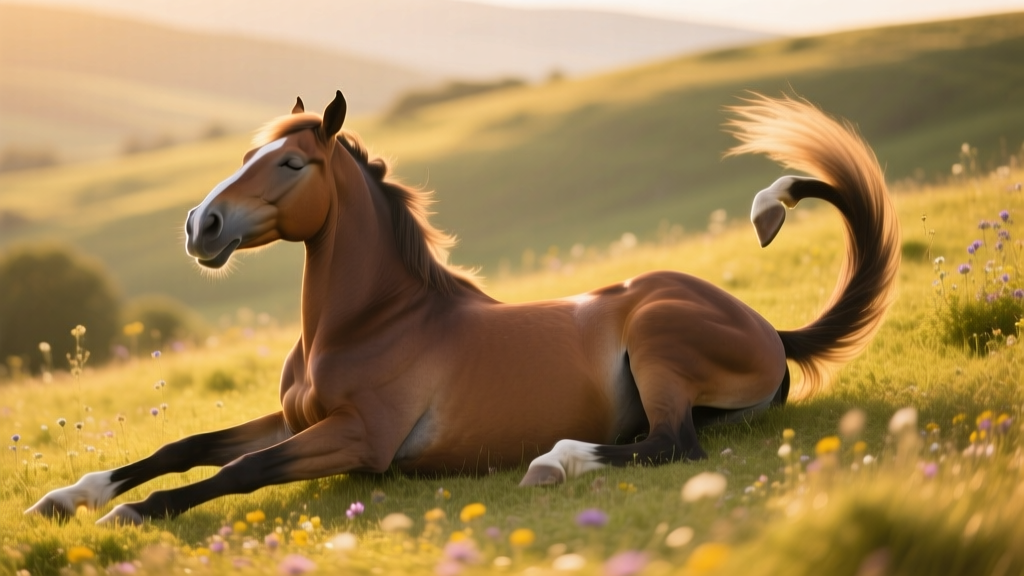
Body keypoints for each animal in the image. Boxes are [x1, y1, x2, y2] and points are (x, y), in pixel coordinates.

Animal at [27, 91, 899, 525]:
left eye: (292, 164)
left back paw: (555, 462)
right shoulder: (298, 419)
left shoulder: (359, 439)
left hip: (657, 341)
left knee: (671, 447)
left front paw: (134, 518)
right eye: (247, 154)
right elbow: (188, 445)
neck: (372, 324)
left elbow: (239, 470)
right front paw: (73, 497)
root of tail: (769, 330)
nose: (199, 227)